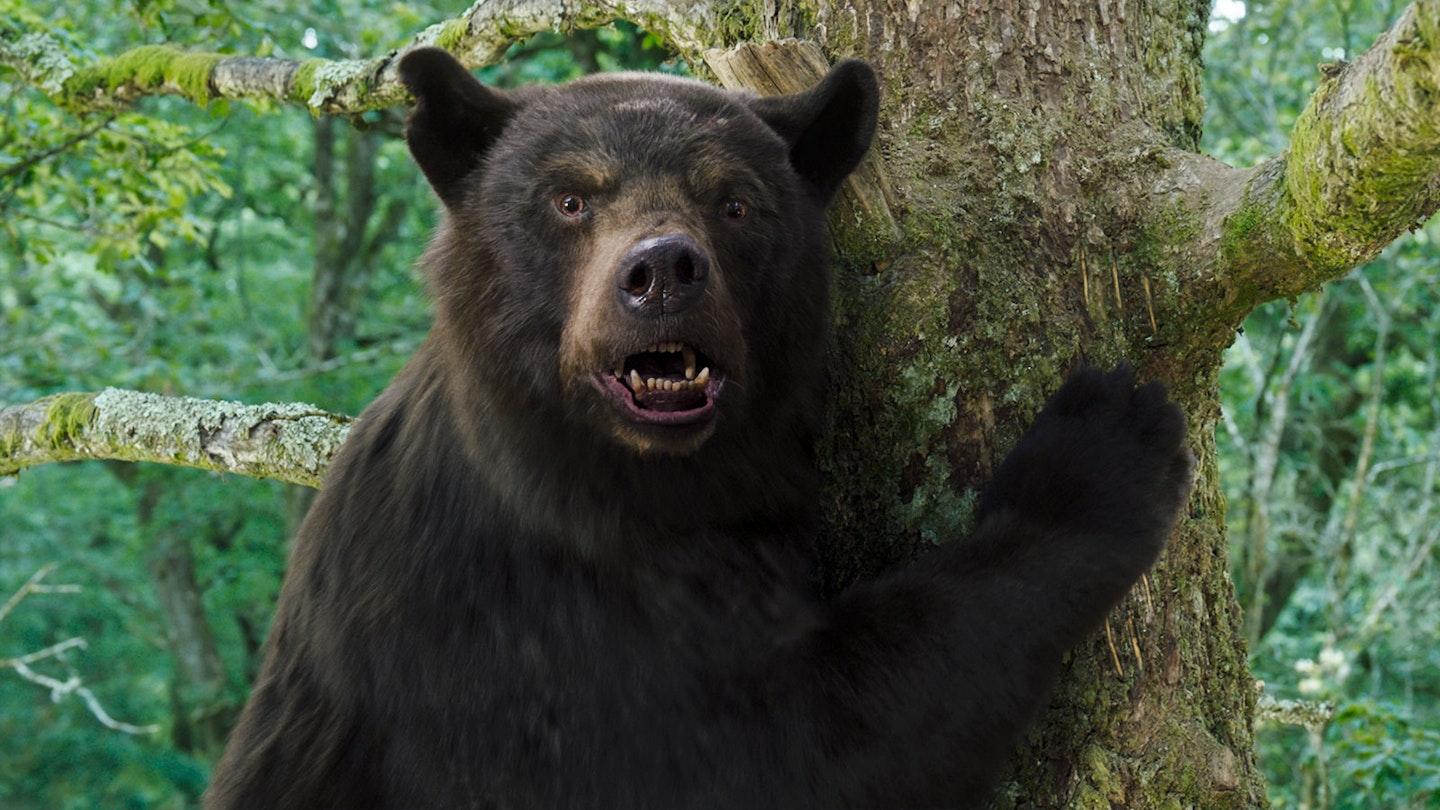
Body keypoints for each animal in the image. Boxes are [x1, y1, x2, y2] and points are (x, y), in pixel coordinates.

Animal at [205, 47, 1193, 809]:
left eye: (735, 201)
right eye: (570, 199)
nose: (662, 272)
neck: (626, 486)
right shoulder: (511, 638)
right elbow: (787, 746)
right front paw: (1097, 454)